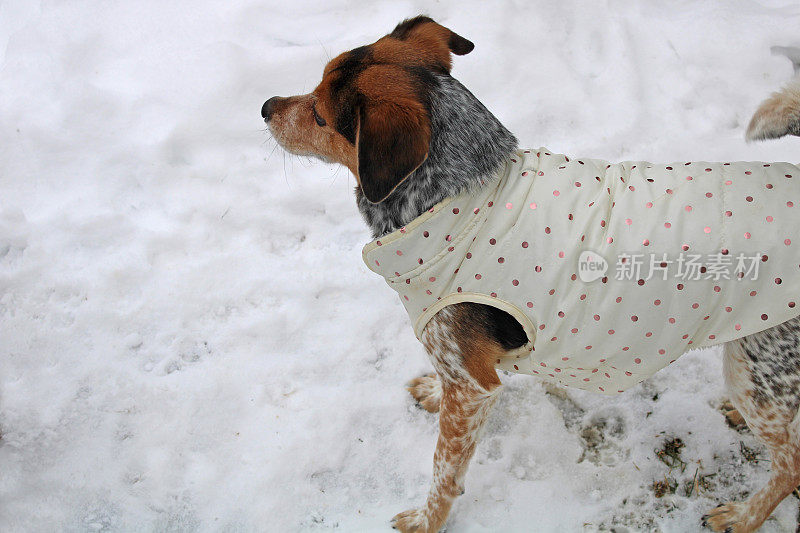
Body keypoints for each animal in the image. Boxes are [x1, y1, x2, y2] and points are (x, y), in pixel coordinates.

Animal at [266, 14, 800, 528]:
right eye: (314, 84)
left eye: (319, 115)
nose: (266, 106)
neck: (455, 194)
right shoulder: (466, 375)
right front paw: (432, 392)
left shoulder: (472, 386)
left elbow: (444, 470)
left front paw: (427, 520)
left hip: (754, 366)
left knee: (789, 464)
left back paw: (744, 517)